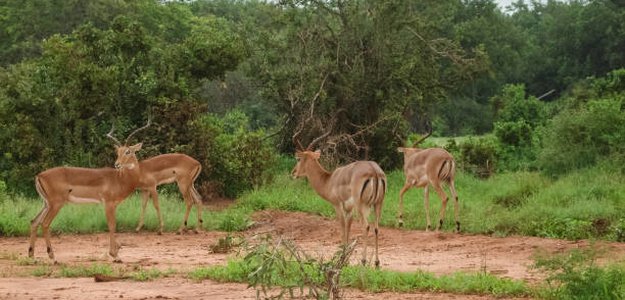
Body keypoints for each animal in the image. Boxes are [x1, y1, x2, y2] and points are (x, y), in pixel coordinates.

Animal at [29, 120, 151, 262]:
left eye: (128, 151)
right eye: (118, 152)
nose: (117, 164)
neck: (119, 179)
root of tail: (40, 175)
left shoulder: (113, 205)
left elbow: (113, 224)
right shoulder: (108, 204)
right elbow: (112, 225)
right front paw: (115, 255)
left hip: (46, 204)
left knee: (34, 222)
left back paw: (31, 256)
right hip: (56, 204)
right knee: (45, 223)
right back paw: (52, 257)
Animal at [292, 129, 386, 268]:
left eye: (298, 159)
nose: (293, 173)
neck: (329, 180)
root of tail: (374, 171)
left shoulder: (337, 205)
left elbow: (342, 226)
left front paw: (342, 259)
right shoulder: (349, 209)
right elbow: (348, 227)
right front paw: (346, 259)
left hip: (361, 206)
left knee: (366, 226)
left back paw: (363, 261)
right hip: (378, 204)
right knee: (376, 228)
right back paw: (377, 262)